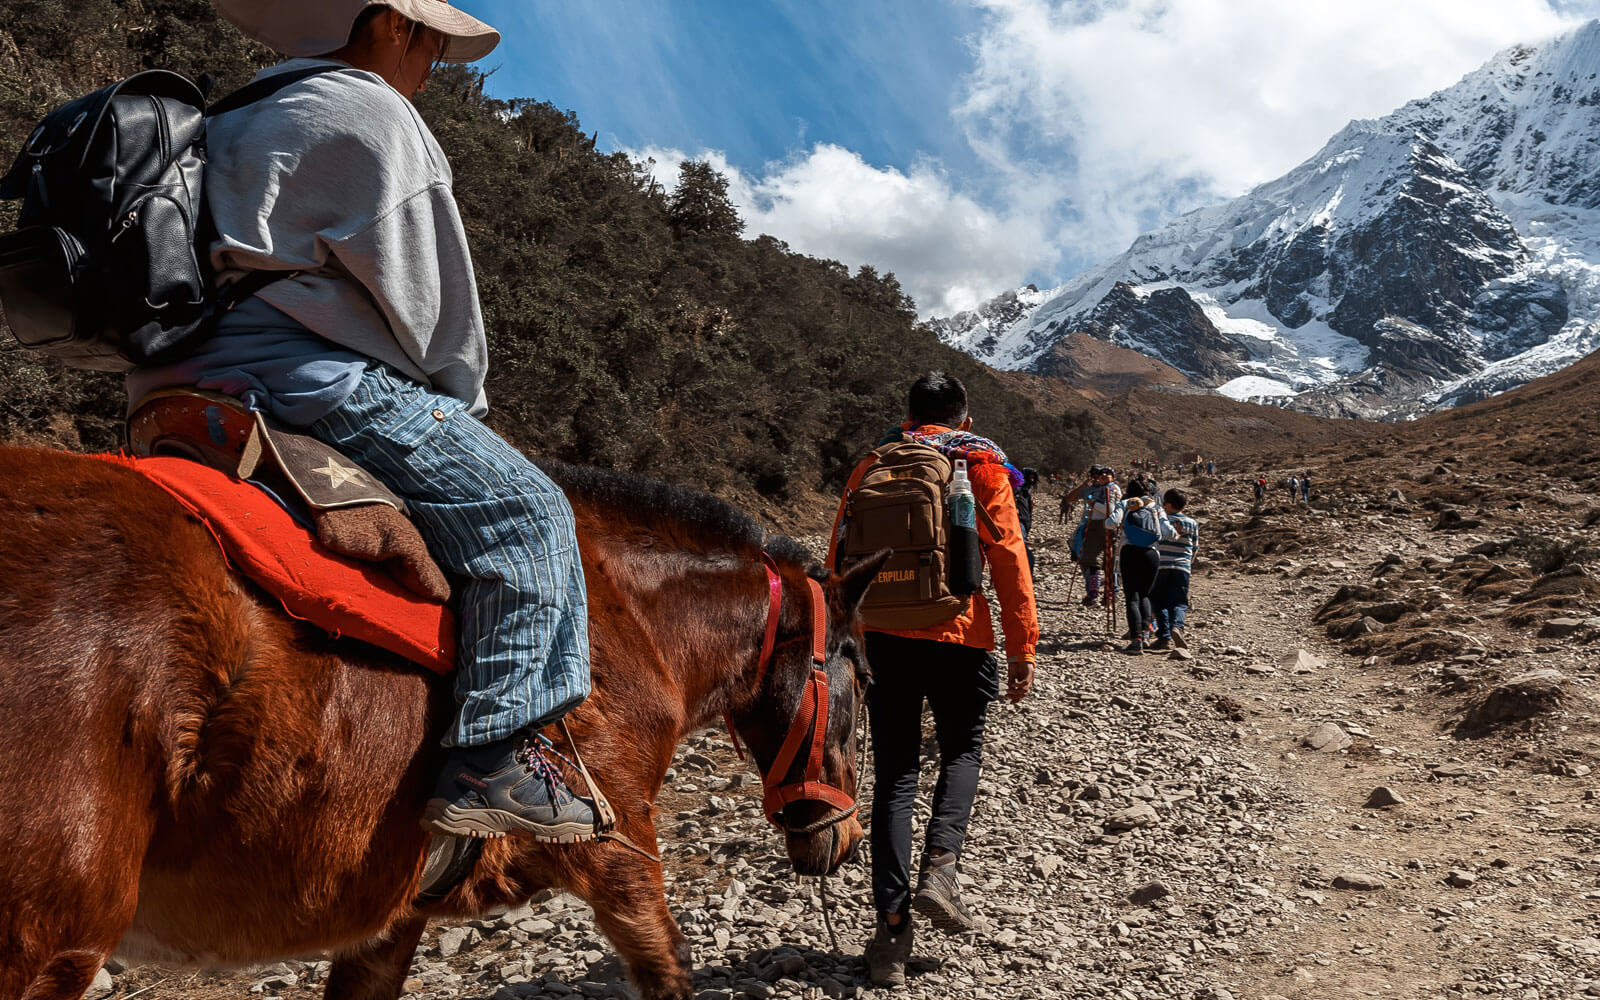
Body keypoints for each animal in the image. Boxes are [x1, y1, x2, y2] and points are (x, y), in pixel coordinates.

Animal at [0, 448, 889, 998]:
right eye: (864, 676)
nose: (844, 836)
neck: (626, 619)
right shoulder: (618, 853)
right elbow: (668, 966)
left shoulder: (389, 916)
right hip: (45, 939)